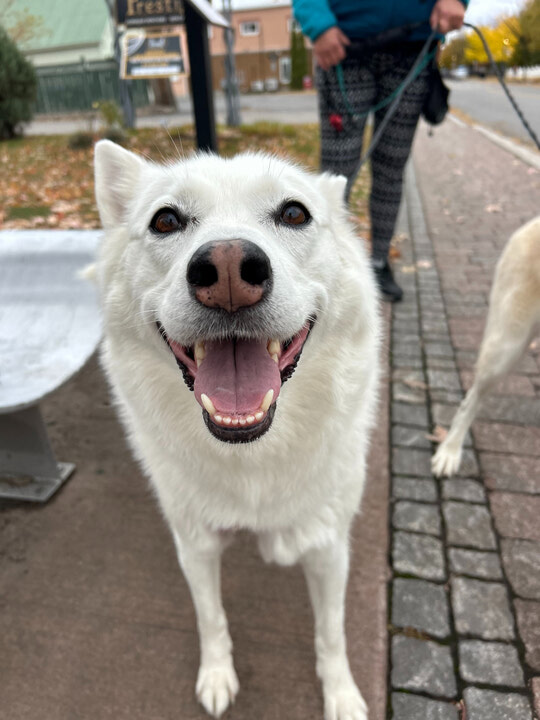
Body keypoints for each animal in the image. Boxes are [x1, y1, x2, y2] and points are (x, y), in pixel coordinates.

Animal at [93, 140, 380, 720]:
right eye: (165, 220)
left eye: (294, 213)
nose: (227, 268)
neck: (252, 456)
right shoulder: (194, 542)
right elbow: (211, 618)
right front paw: (217, 675)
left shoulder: (329, 545)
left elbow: (331, 633)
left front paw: (341, 695)